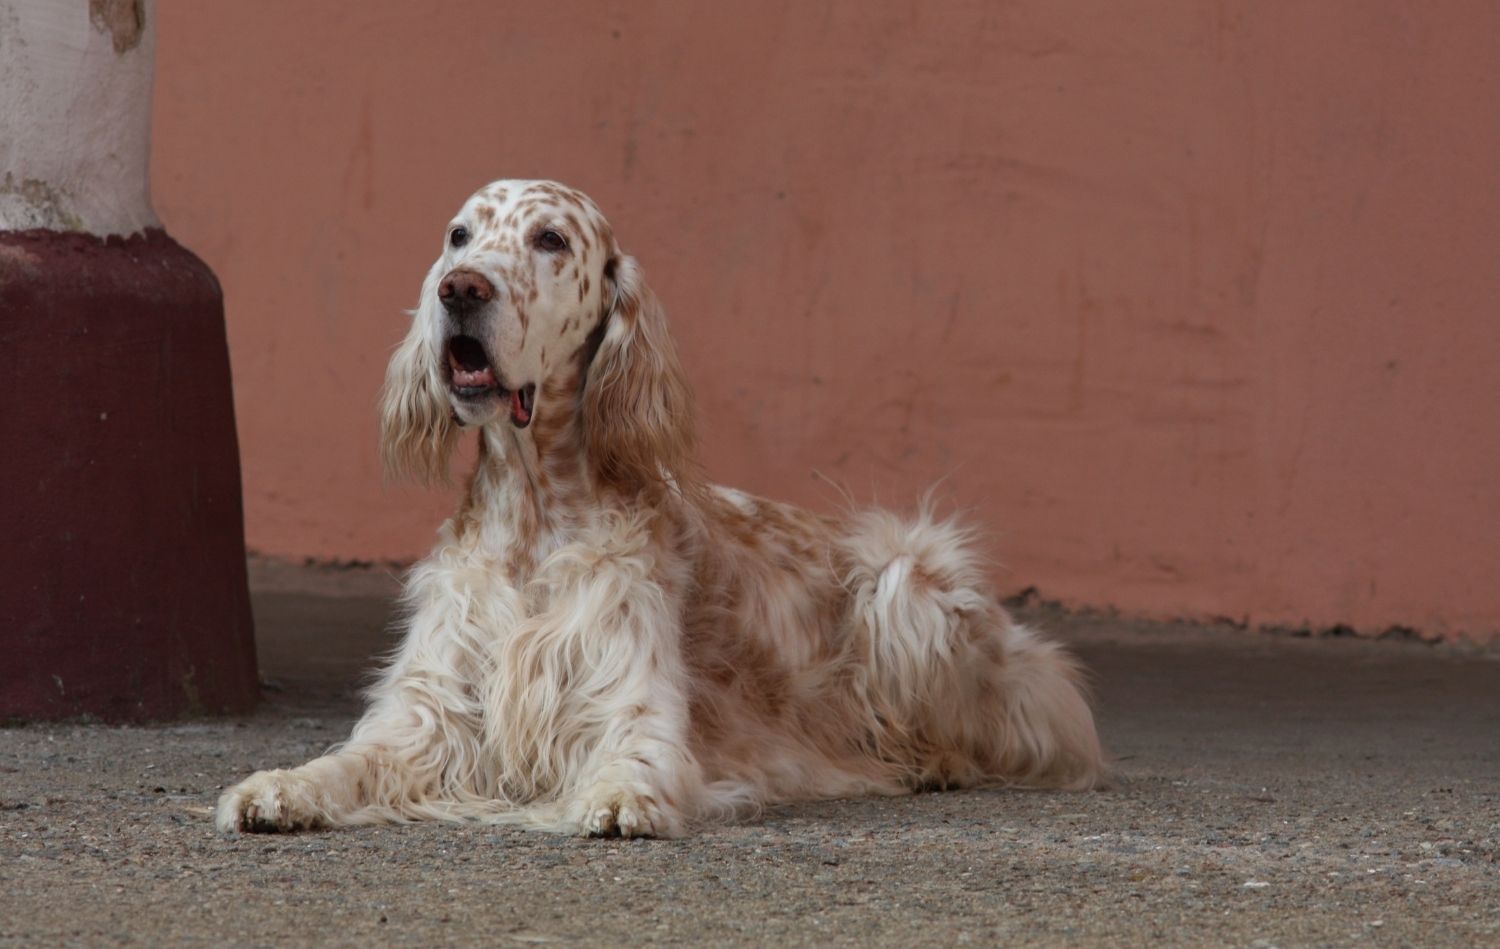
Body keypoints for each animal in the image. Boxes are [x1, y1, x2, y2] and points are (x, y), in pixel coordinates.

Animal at [214, 179, 1104, 833]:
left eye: (550, 240)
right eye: (459, 236)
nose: (459, 289)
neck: (535, 513)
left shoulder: (633, 712)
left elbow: (631, 762)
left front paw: (618, 799)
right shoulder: (428, 715)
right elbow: (348, 760)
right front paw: (278, 786)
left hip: (906, 582)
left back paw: (933, 760)